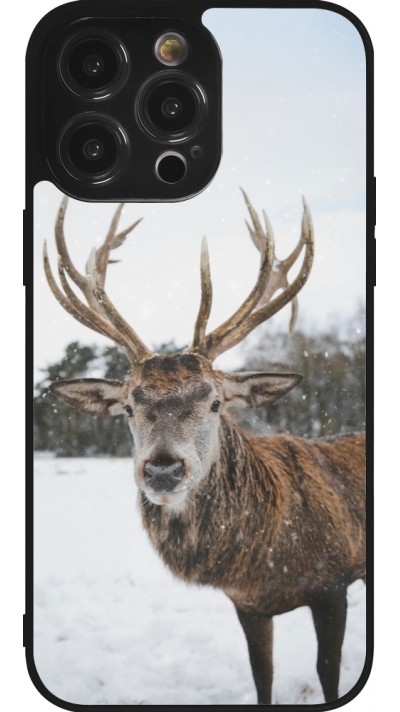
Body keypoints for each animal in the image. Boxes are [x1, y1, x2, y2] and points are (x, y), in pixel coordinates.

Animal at [43, 191, 365, 705]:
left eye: (215, 402)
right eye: (129, 406)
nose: (163, 470)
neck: (265, 558)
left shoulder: (333, 581)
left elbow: (328, 673)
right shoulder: (248, 604)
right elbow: (262, 676)